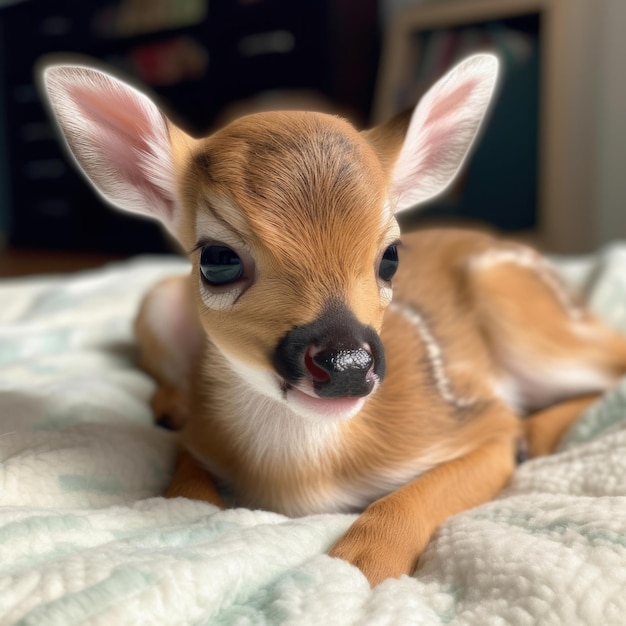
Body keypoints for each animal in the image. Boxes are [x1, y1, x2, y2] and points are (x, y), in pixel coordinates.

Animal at [41, 54, 624, 584]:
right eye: (216, 259)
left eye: (390, 255)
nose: (346, 365)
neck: (301, 476)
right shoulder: (199, 441)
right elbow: (185, 491)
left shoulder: (475, 420)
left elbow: (414, 493)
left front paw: (361, 565)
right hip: (159, 303)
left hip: (522, 312)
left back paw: (538, 434)